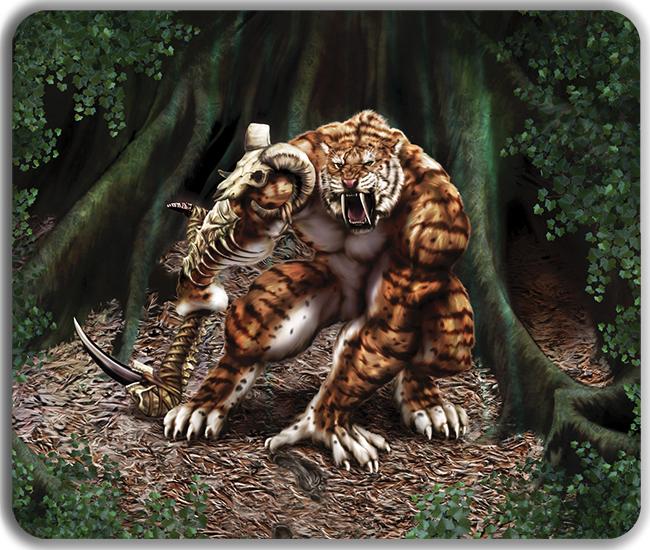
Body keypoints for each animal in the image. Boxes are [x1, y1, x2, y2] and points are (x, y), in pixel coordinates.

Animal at [165, 110, 474, 472]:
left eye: (368, 162)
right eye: (338, 165)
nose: (350, 182)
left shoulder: (431, 225)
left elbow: (385, 329)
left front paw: (321, 426)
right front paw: (195, 291)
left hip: (450, 342)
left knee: (437, 353)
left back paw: (427, 404)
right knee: (253, 328)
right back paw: (202, 406)